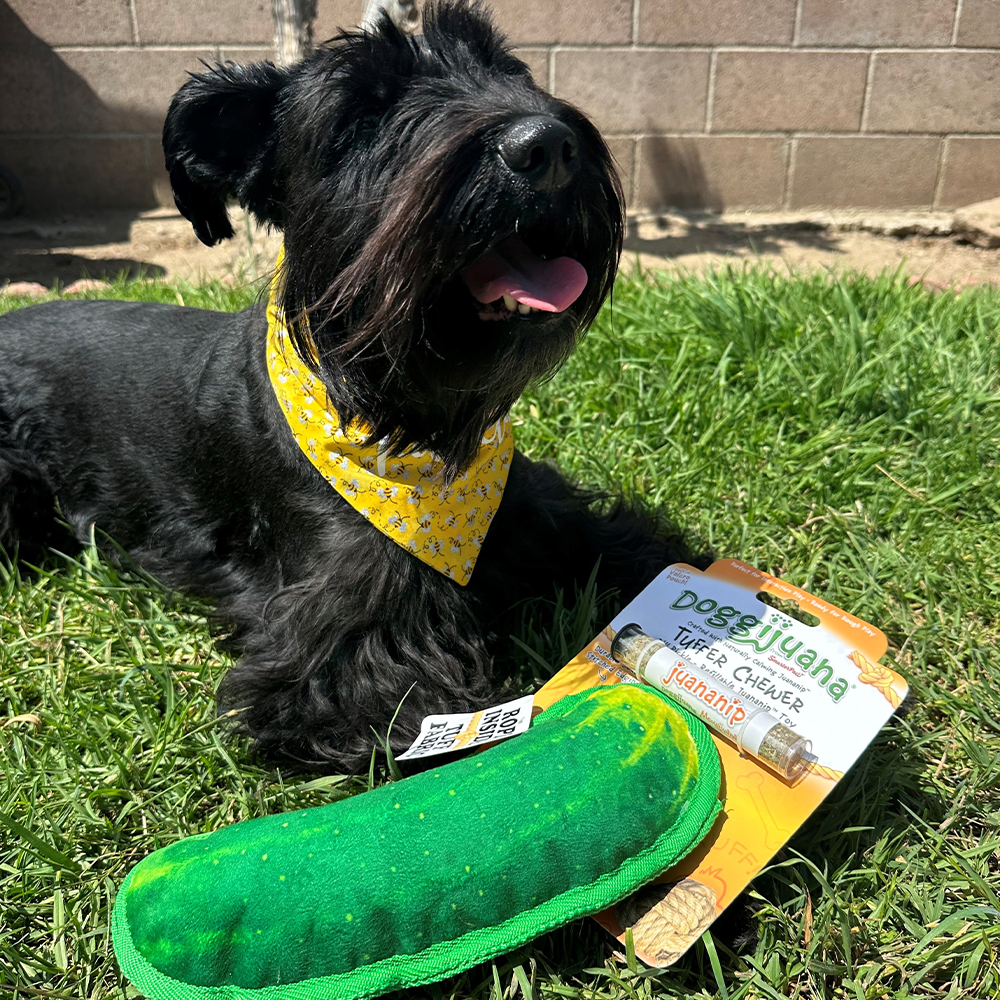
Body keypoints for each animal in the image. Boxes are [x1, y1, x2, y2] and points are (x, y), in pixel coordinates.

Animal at [0, 0, 696, 772]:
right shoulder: (344, 646)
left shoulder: (545, 514)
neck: (407, 424)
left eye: (506, 67)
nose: (547, 146)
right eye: (363, 110)